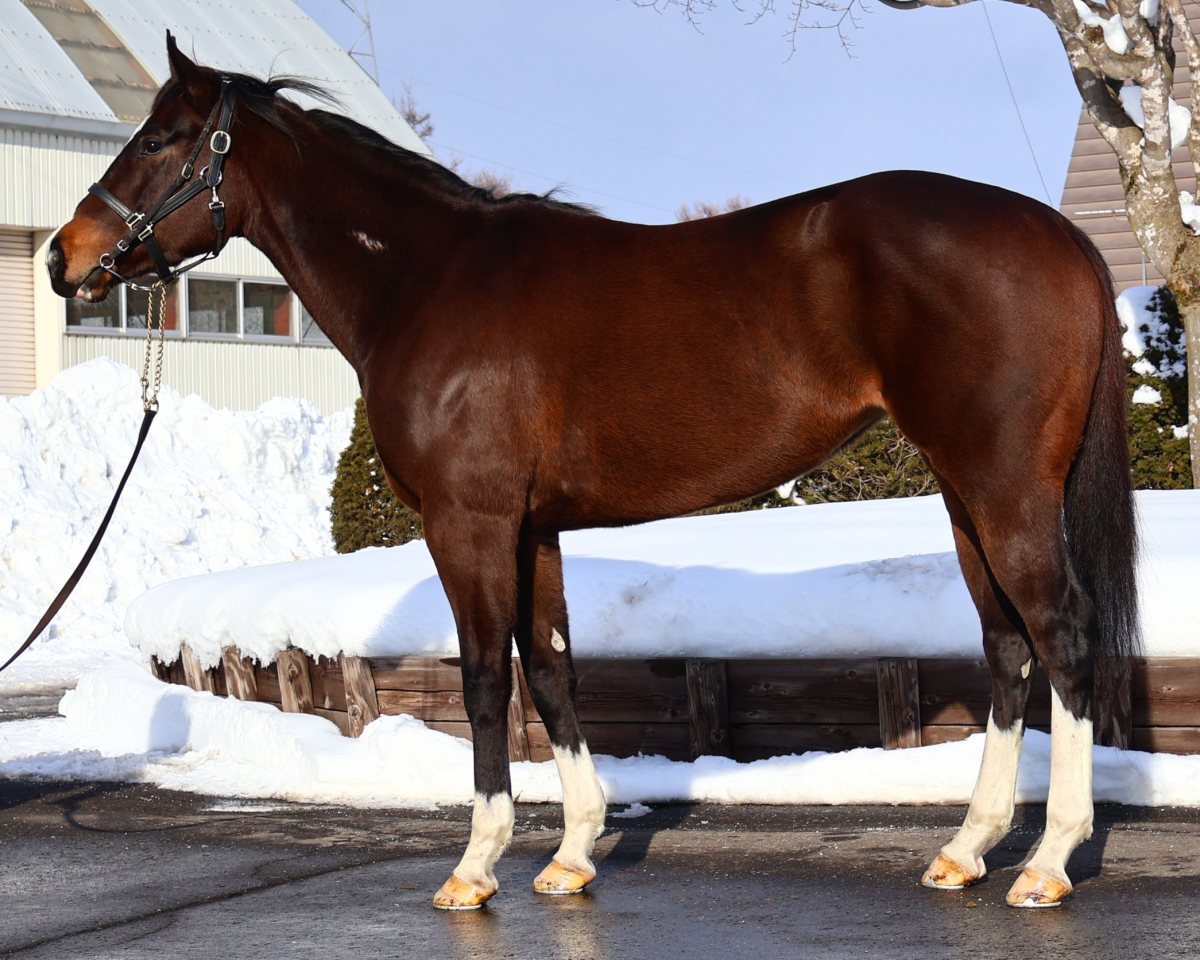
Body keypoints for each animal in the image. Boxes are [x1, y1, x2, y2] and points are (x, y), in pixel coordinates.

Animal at [48, 35, 1138, 911]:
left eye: (157, 141)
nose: (65, 259)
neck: (429, 281)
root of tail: (1058, 235)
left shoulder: (470, 522)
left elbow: (488, 679)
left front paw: (475, 868)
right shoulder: (534, 528)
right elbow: (554, 670)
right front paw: (570, 857)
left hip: (1004, 491)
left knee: (1064, 637)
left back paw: (1048, 864)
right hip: (966, 495)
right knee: (1007, 648)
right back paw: (967, 850)